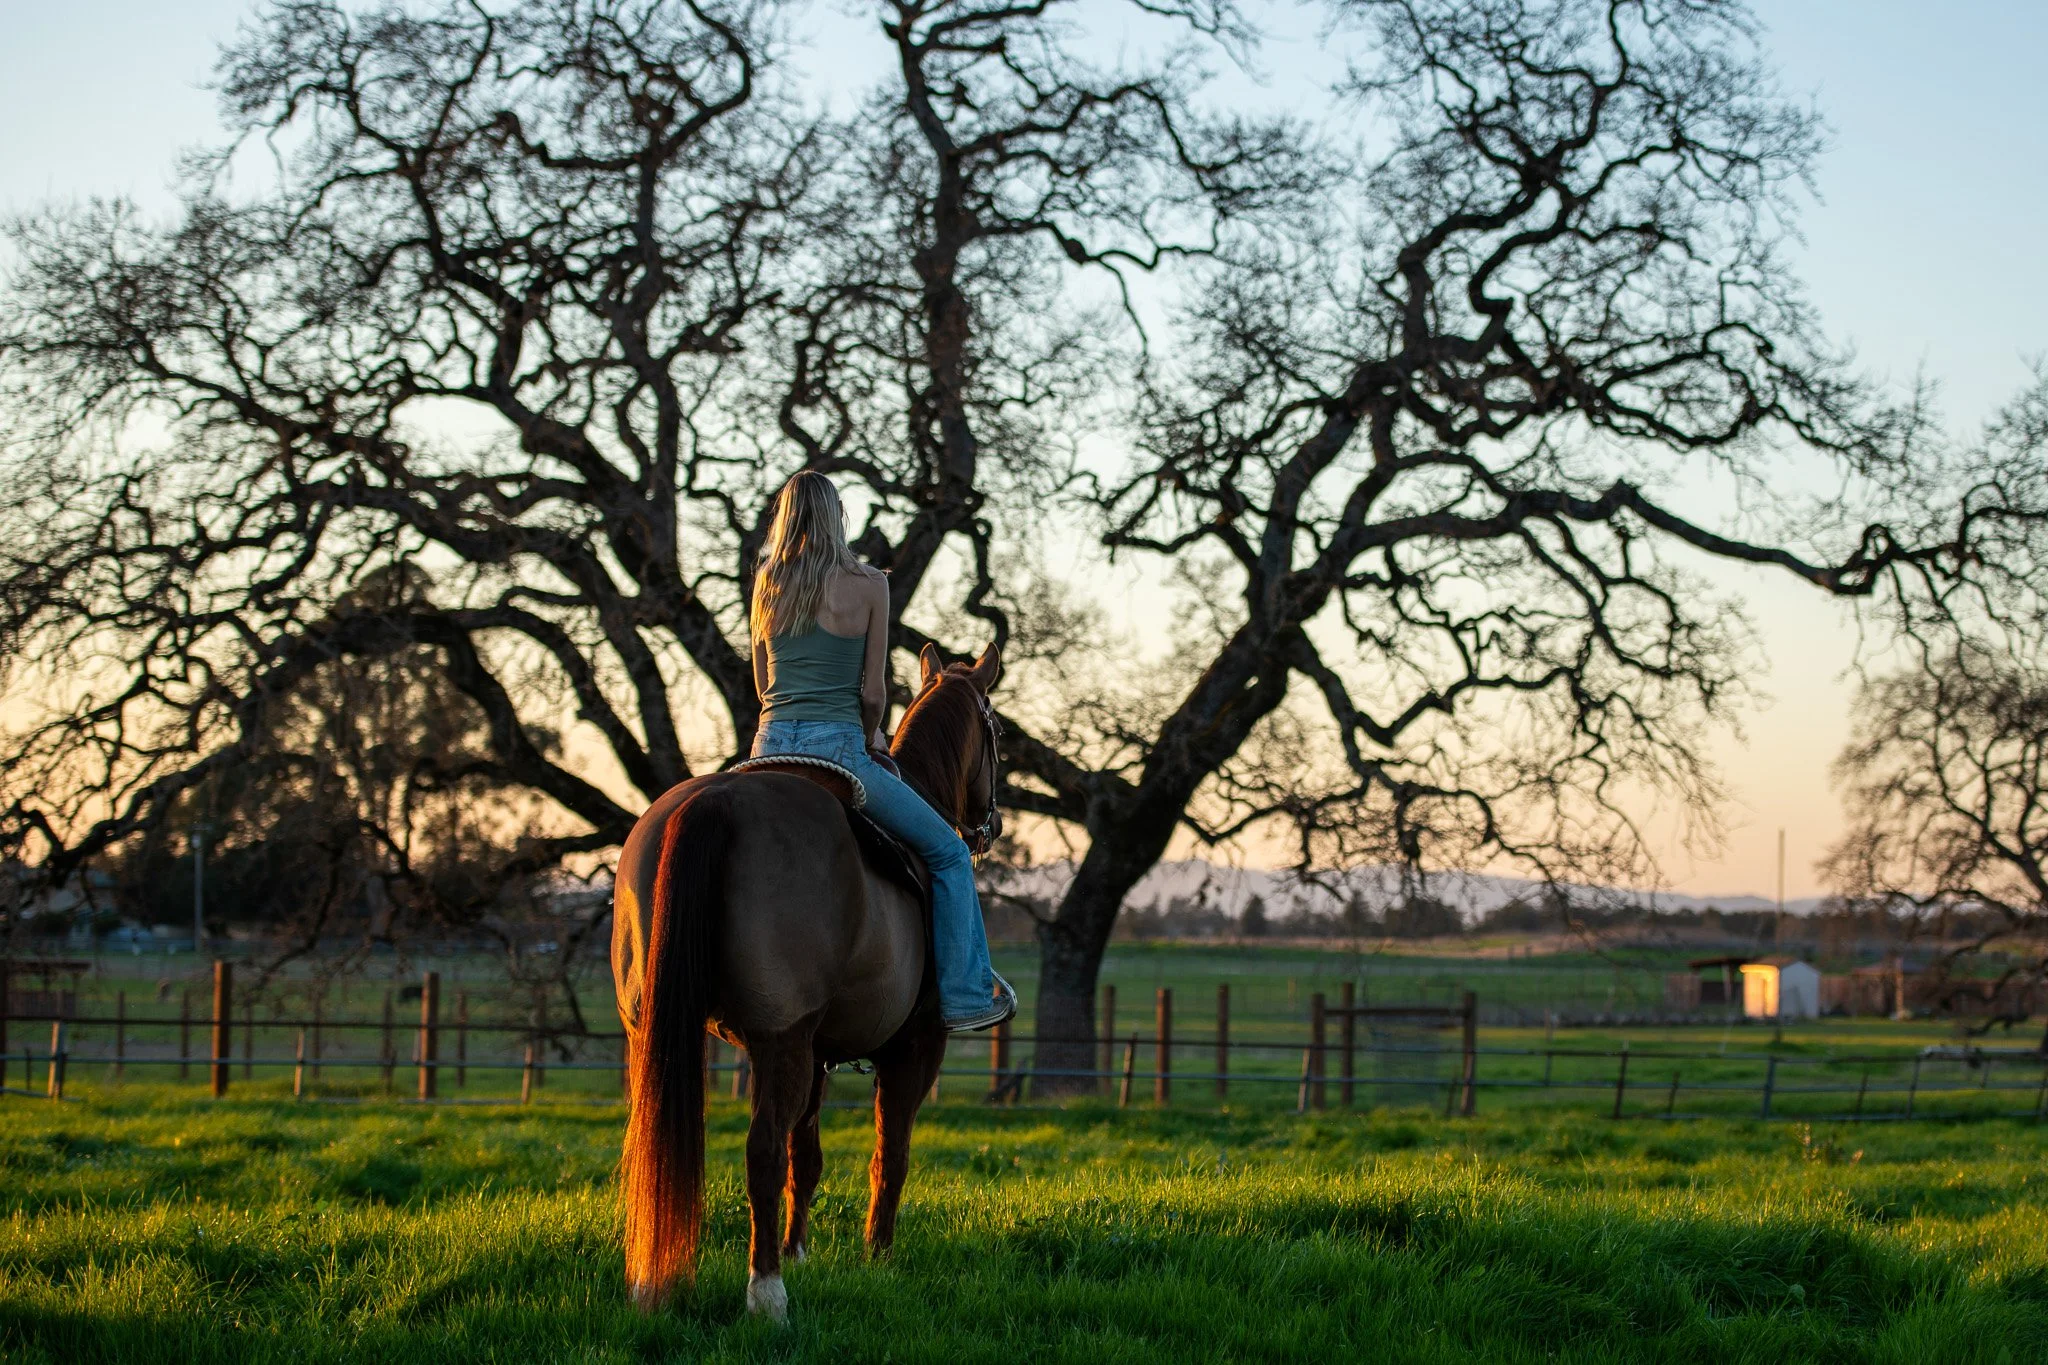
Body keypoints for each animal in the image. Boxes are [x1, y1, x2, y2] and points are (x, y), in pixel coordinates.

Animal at [611, 642, 1003, 1320]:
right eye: (997, 734)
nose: (992, 825)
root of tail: (714, 801)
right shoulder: (915, 1046)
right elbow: (889, 1155)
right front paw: (878, 1258)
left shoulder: (818, 1052)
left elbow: (809, 1157)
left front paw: (801, 1251)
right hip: (781, 1040)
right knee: (762, 1151)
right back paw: (766, 1293)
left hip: (663, 1034)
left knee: (673, 1147)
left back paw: (654, 1284)